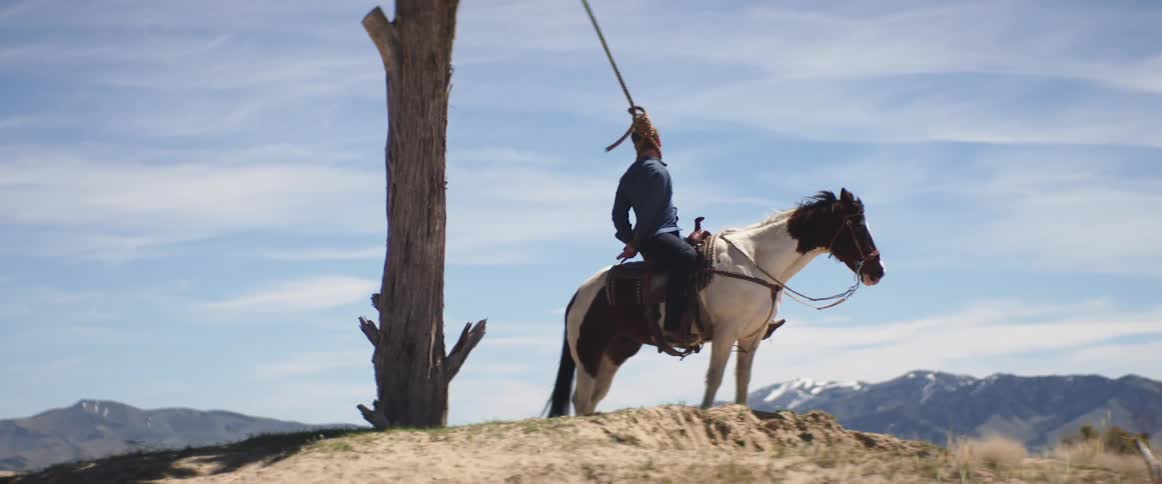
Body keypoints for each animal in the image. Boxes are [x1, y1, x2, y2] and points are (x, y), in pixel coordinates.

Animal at [547, 188, 885, 417]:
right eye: (857, 225)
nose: (877, 271)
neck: (756, 261)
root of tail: (580, 293)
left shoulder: (751, 336)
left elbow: (742, 380)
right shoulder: (725, 332)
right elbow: (714, 378)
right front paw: (707, 413)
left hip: (616, 352)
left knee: (593, 398)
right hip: (588, 353)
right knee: (582, 398)